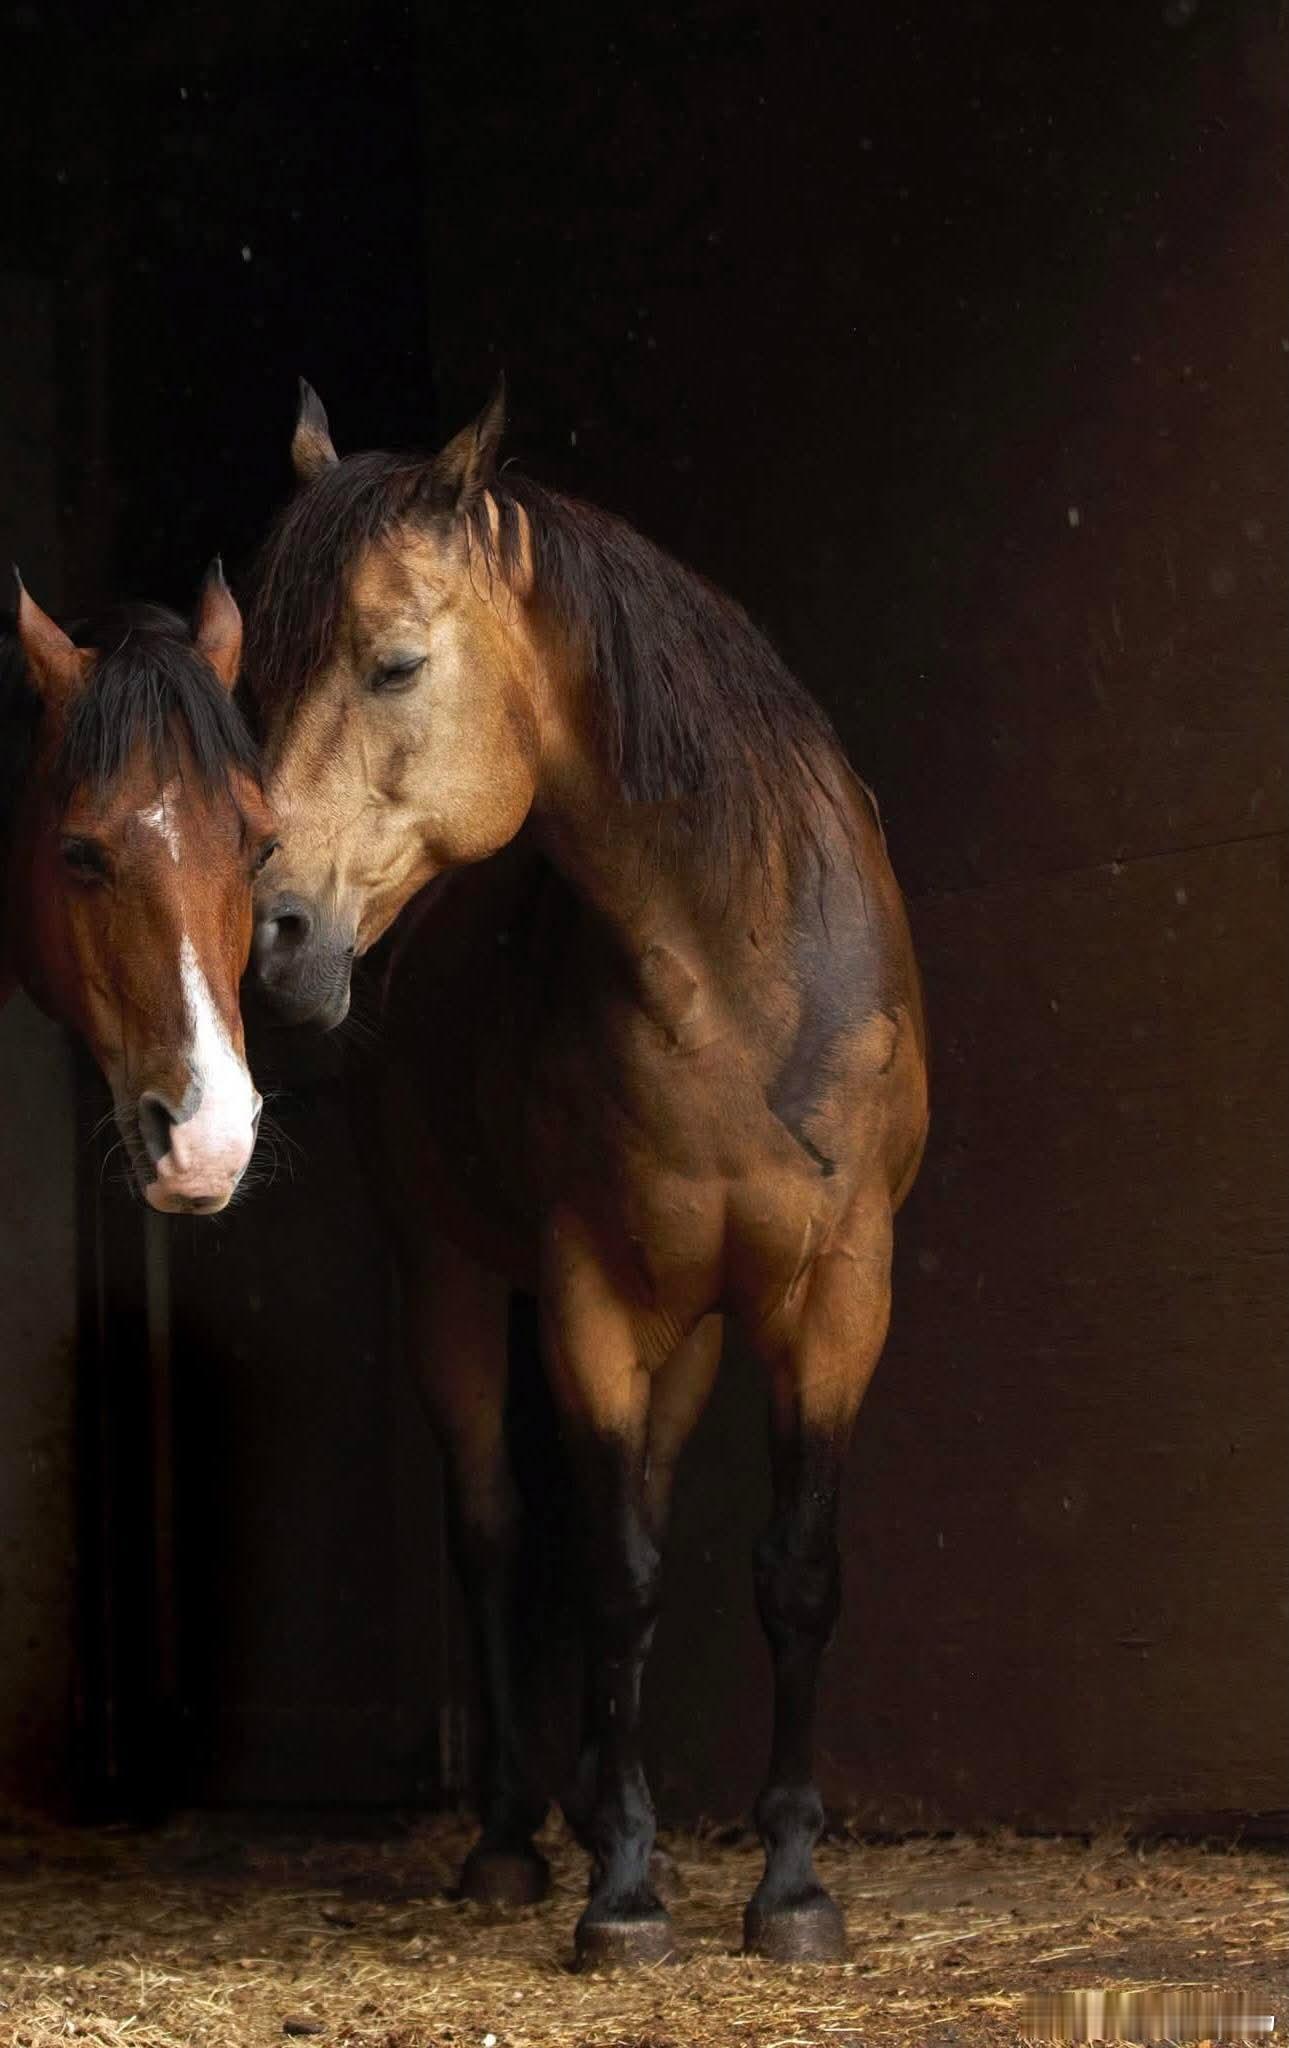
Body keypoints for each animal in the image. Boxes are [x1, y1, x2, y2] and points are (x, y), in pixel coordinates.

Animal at [247, 382, 929, 1966]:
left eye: (392, 662)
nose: (273, 940)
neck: (741, 967)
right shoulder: (588, 1297)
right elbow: (616, 1577)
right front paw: (623, 1890)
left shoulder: (835, 1295)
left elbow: (792, 1574)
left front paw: (790, 1887)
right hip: (447, 1279)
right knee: (495, 1532)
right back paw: (512, 1835)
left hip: (692, 1330)